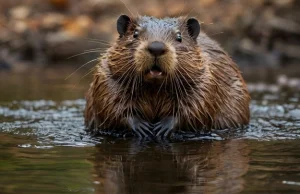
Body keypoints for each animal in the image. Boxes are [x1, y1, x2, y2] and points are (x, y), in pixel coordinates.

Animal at [84, 14, 251, 138]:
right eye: (135, 33)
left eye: (179, 37)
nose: (156, 47)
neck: (154, 89)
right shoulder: (106, 77)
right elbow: (110, 105)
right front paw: (142, 127)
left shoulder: (206, 80)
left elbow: (197, 107)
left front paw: (162, 128)